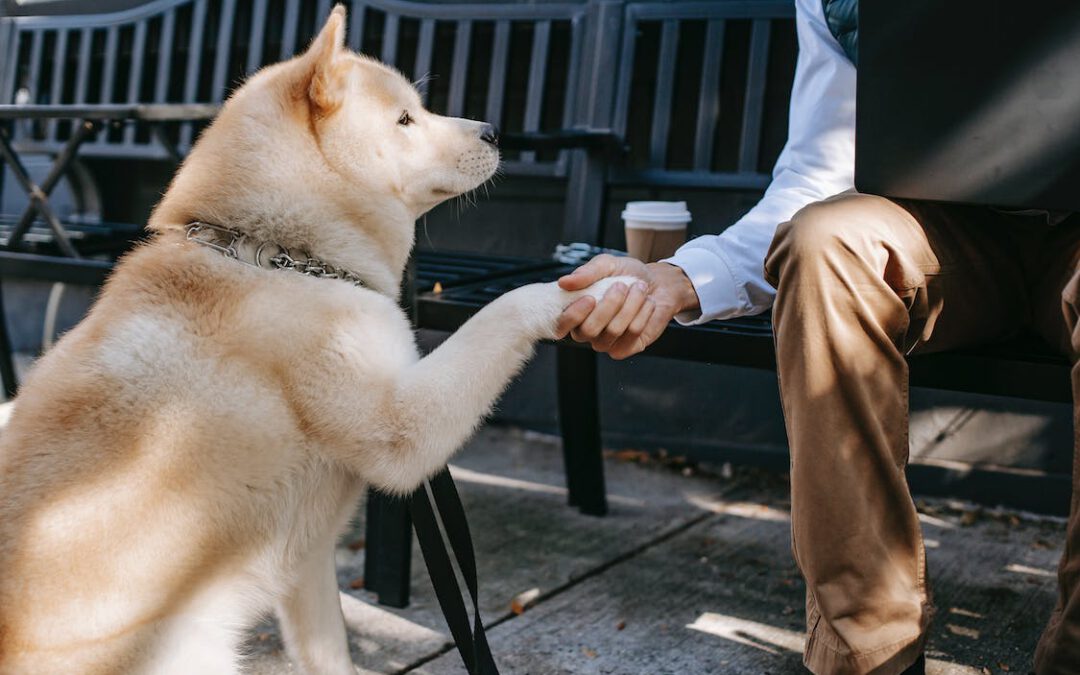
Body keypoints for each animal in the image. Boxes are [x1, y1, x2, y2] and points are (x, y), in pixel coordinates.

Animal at [0, 6, 630, 673]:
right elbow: (504, 309)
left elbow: (329, 653)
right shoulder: (403, 430)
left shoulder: (306, 565)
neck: (280, 259)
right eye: (405, 119)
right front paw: (598, 285)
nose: (492, 131)